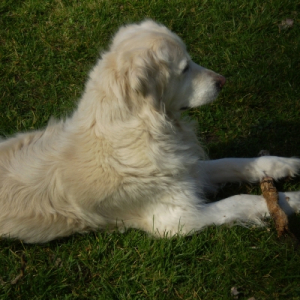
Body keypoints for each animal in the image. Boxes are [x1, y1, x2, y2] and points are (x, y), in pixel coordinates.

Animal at [0, 19, 300, 243]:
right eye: (184, 68)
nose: (222, 81)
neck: (147, 127)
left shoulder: (186, 171)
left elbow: (236, 163)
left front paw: (285, 164)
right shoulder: (176, 218)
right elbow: (240, 200)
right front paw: (292, 199)